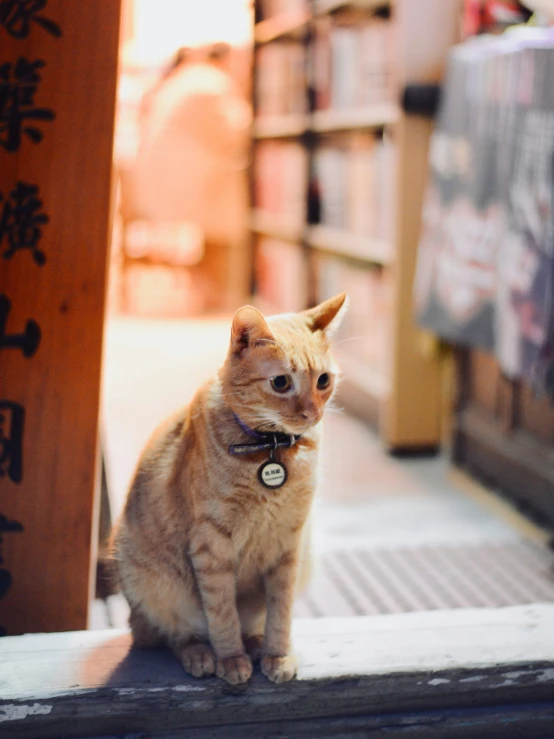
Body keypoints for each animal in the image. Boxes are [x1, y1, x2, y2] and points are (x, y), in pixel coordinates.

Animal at [111, 292, 344, 684]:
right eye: (281, 383)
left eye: (323, 380)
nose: (312, 413)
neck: (271, 448)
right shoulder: (212, 547)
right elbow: (221, 612)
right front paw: (232, 659)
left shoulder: (289, 545)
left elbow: (280, 612)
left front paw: (278, 655)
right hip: (153, 584)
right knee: (173, 633)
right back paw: (201, 655)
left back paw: (255, 643)